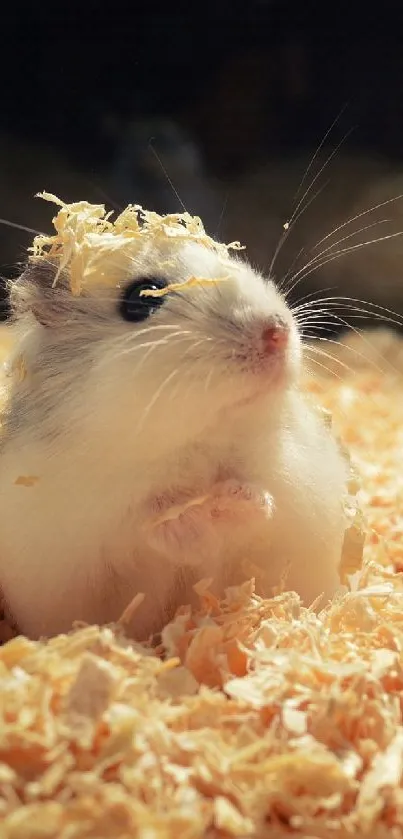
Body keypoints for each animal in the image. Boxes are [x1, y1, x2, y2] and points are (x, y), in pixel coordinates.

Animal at [0, 220, 348, 640]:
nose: (277, 331)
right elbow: (151, 526)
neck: (192, 443)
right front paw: (192, 518)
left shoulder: (292, 486)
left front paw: (239, 500)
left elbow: (259, 502)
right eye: (141, 298)